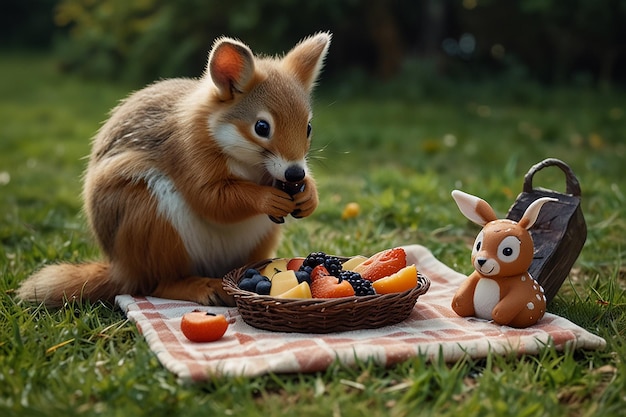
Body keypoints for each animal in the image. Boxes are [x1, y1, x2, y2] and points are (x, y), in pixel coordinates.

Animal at [15, 32, 332, 306]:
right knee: (158, 283)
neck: (249, 162)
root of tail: (123, 270)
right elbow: (213, 200)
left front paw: (309, 195)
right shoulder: (189, 155)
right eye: (261, 127)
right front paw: (267, 198)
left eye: (308, 127)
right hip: (150, 222)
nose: (295, 174)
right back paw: (201, 287)